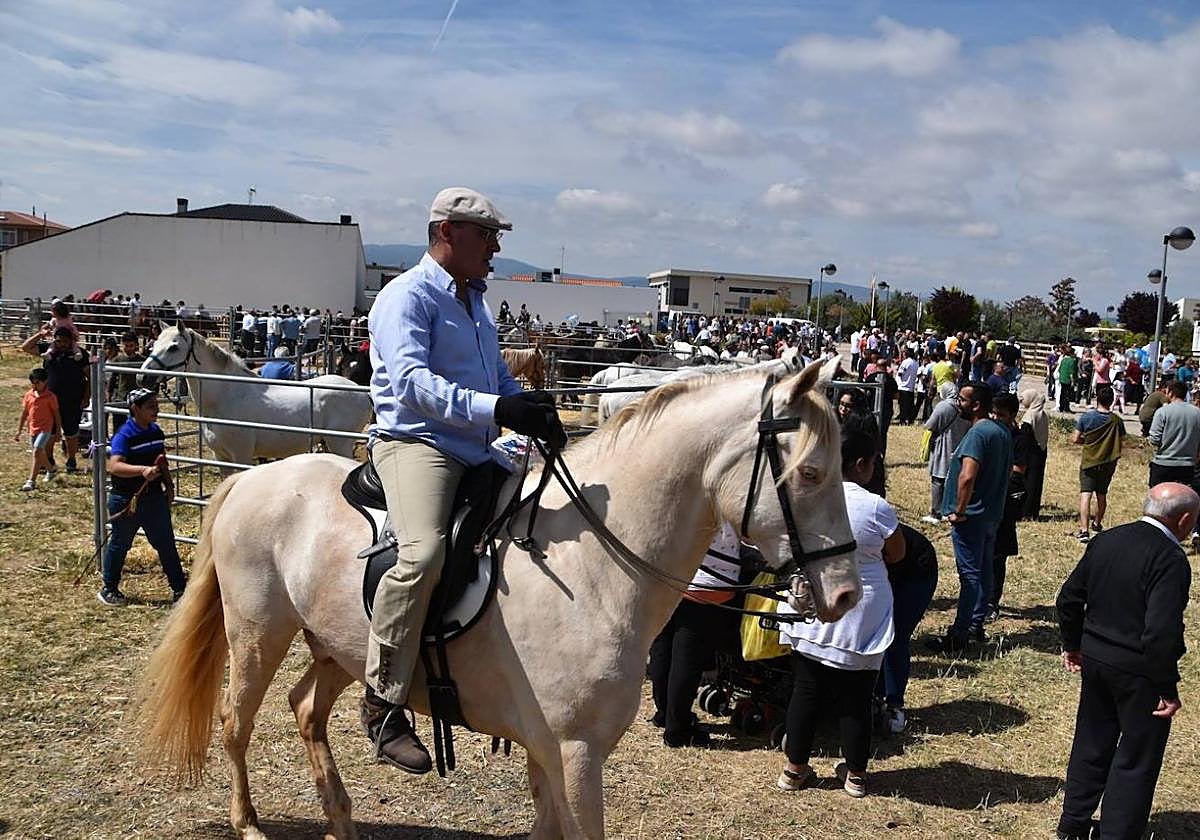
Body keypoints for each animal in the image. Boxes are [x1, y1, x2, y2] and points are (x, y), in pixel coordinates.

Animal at [137, 357, 860, 840]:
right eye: (810, 473)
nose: (847, 593)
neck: (593, 564)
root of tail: (251, 481)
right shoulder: (575, 752)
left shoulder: (547, 749)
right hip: (258, 634)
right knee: (236, 722)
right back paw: (250, 823)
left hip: (337, 649)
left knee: (307, 710)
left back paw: (342, 817)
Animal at [140, 325, 373, 465]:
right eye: (155, 343)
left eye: (173, 347)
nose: (143, 377)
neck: (226, 395)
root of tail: (361, 392)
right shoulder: (221, 457)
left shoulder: (242, 456)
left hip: (340, 444)